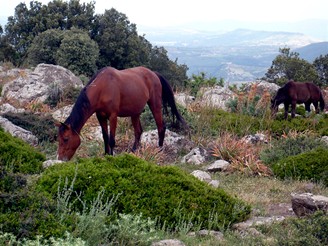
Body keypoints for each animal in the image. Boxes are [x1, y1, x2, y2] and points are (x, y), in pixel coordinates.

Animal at [56, 66, 187, 161]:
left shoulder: (113, 116)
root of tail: (154, 74)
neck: (102, 88)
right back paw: (134, 150)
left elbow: (111, 139)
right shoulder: (100, 116)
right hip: (135, 113)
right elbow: (105, 137)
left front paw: (111, 156)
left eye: (66, 139)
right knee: (138, 131)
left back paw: (159, 150)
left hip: (155, 106)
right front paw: (106, 154)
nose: (61, 158)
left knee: (161, 127)